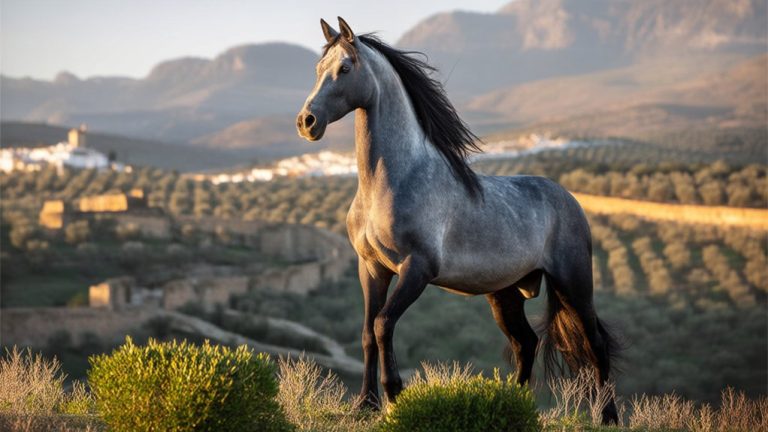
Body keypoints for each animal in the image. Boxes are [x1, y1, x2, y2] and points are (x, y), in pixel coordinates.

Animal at [296, 17, 621, 424]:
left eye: (345, 68)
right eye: (317, 68)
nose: (306, 122)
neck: (392, 181)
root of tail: (570, 200)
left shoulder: (416, 269)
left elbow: (384, 324)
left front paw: (394, 395)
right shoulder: (371, 268)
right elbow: (368, 332)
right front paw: (365, 404)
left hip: (573, 284)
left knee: (596, 344)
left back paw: (608, 417)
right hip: (505, 294)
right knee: (525, 343)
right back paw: (512, 404)